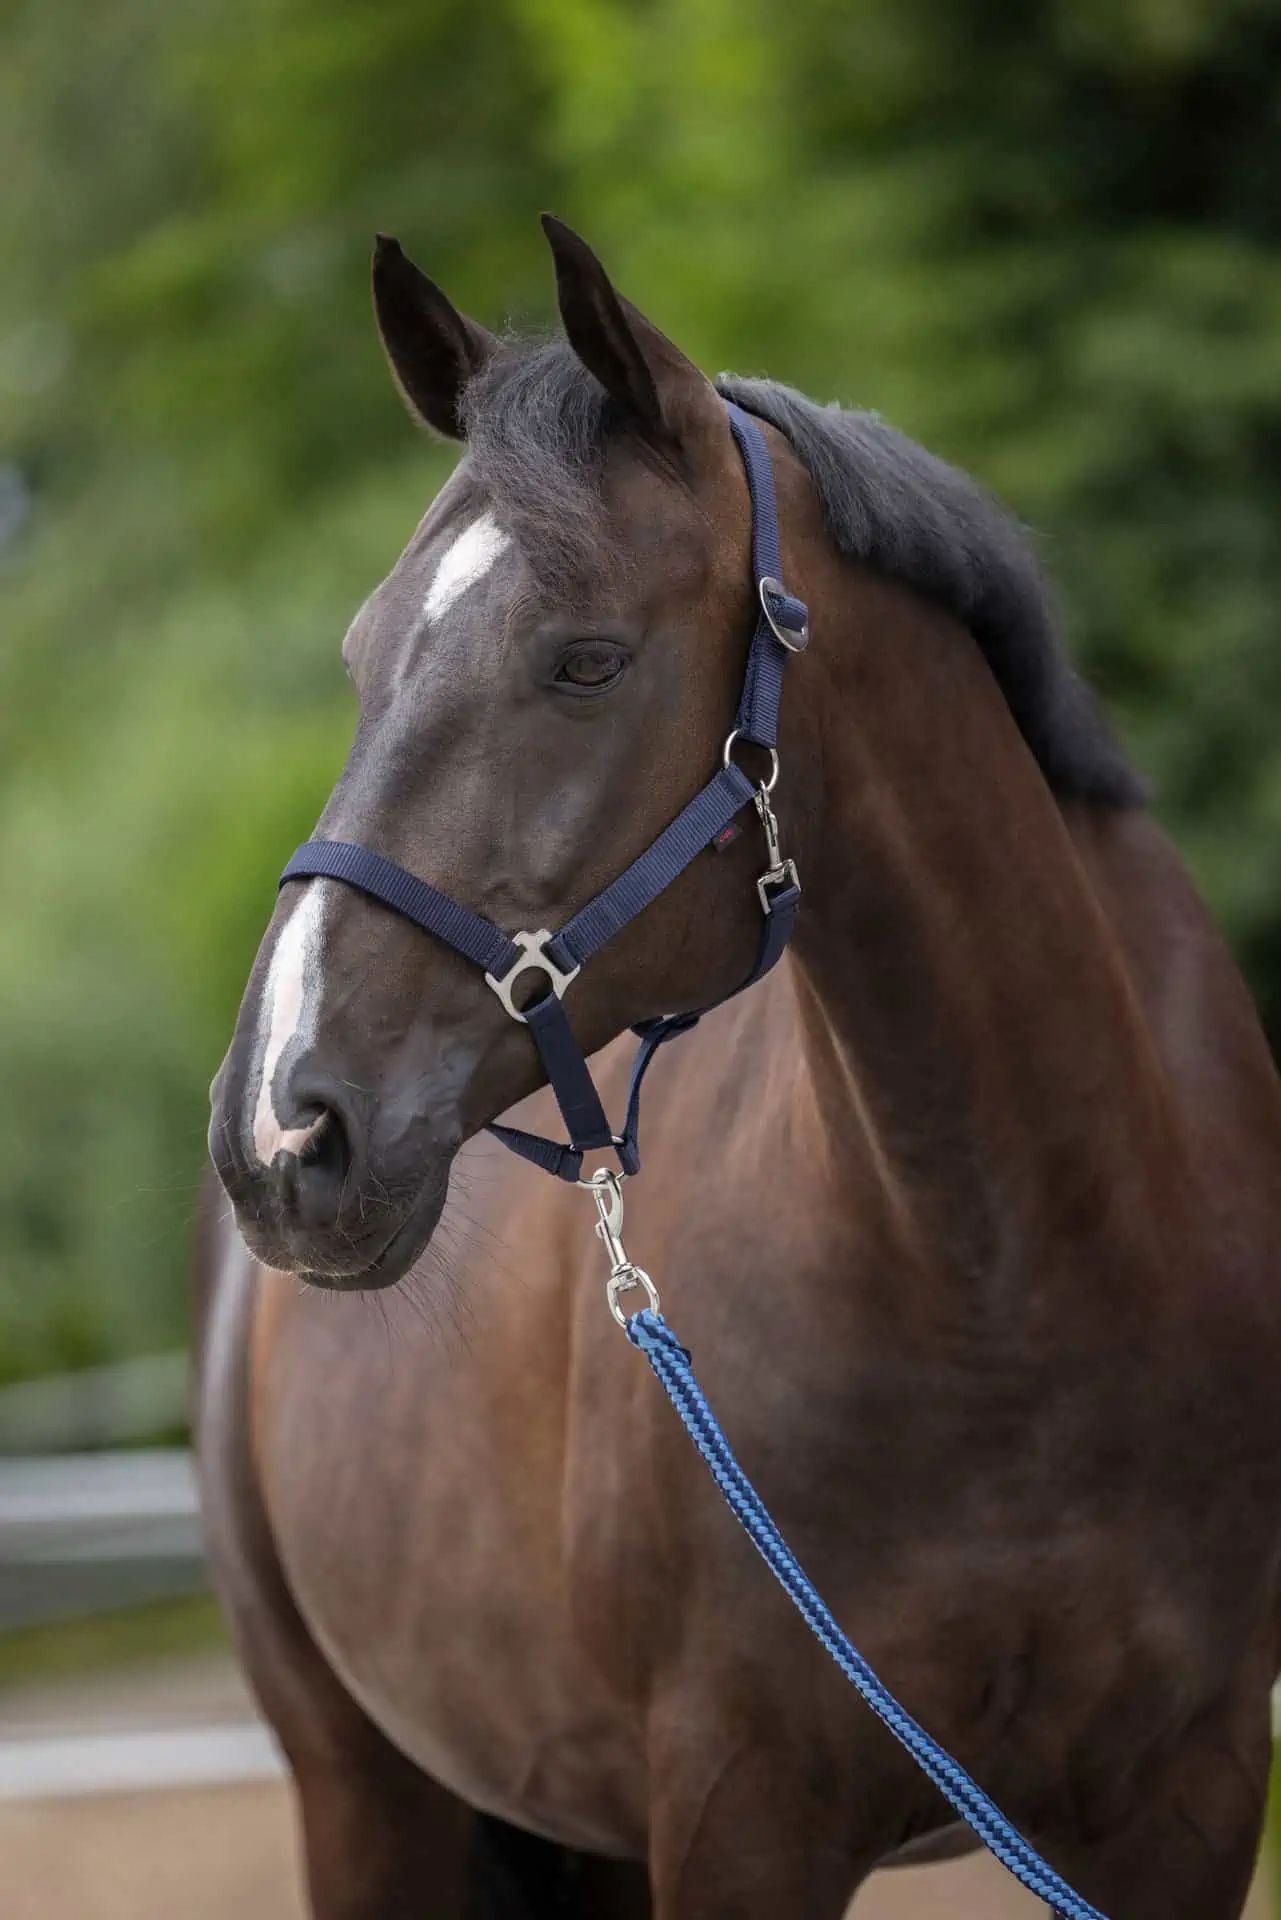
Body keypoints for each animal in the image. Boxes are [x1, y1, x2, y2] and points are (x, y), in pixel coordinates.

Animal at [196, 215, 1281, 1919]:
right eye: (368, 658)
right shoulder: (737, 1810)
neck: (1026, 1279)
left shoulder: (1194, 1792)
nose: (279, 1131)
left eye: (586, 662)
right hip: (364, 1793)